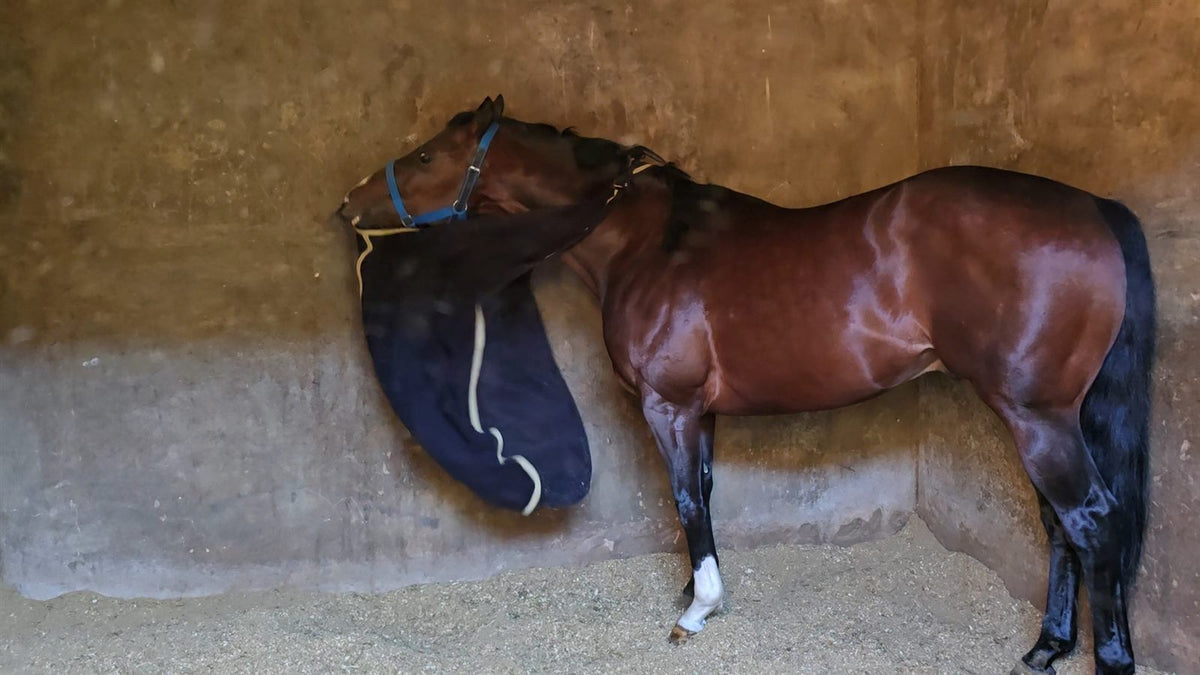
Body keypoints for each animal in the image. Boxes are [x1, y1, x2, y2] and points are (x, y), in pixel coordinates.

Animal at [332, 96, 1155, 675]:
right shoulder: (700, 410)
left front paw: (696, 611)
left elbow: (686, 498)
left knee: (1091, 521)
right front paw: (693, 591)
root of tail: (1091, 207)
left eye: (428, 153)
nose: (346, 206)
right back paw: (1045, 648)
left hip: (1035, 415)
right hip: (1048, 416)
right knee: (1060, 526)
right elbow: (704, 490)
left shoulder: (668, 404)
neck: (645, 241)